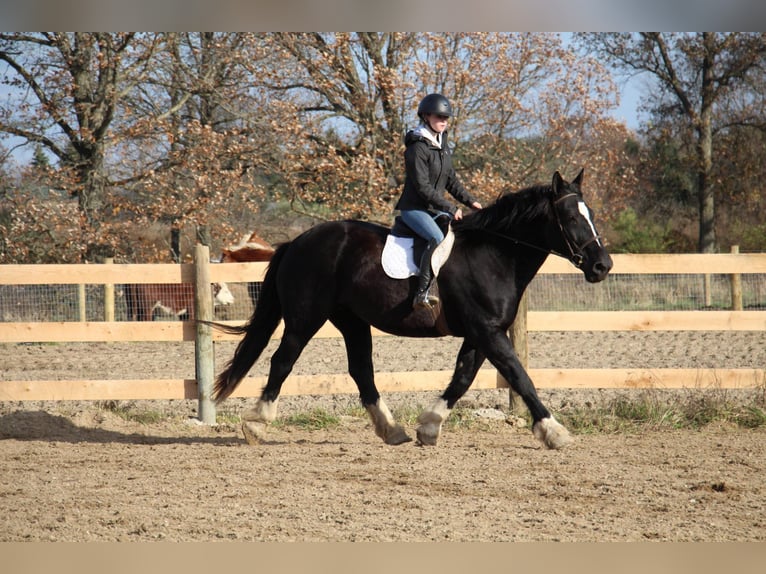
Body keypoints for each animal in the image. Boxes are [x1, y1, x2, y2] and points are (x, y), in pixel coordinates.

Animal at [213, 170, 616, 450]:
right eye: (571, 218)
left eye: (591, 214)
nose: (603, 266)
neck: (495, 254)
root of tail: (297, 241)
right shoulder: (488, 331)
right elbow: (520, 377)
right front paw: (554, 432)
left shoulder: (480, 333)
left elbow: (463, 378)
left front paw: (429, 426)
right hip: (305, 319)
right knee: (283, 361)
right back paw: (256, 424)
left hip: (352, 321)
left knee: (361, 371)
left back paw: (392, 430)